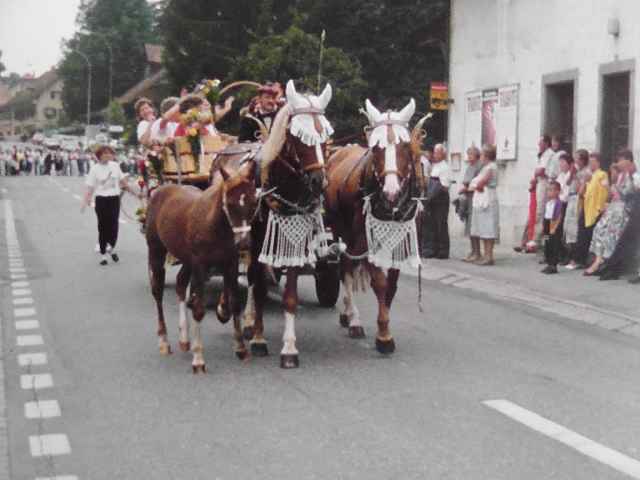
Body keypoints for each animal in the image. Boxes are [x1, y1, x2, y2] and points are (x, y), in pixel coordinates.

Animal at [144, 160, 256, 372]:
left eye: (253, 203)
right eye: (230, 204)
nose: (245, 243)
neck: (215, 224)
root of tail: (160, 190)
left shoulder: (230, 262)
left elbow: (235, 303)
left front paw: (240, 348)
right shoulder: (199, 265)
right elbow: (198, 308)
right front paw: (198, 358)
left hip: (186, 258)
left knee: (180, 283)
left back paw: (184, 339)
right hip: (156, 250)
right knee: (157, 291)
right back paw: (164, 340)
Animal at [239, 80, 336, 370]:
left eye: (325, 136)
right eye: (298, 137)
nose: (318, 181)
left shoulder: (294, 242)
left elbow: (290, 297)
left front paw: (290, 349)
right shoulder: (259, 242)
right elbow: (258, 287)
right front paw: (259, 339)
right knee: (250, 280)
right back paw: (247, 323)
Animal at [328, 98, 428, 352]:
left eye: (405, 147)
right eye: (375, 148)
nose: (391, 192)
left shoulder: (401, 242)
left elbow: (391, 286)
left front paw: (384, 326)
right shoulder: (366, 240)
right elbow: (379, 283)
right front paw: (384, 336)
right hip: (343, 232)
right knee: (346, 268)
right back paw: (352, 318)